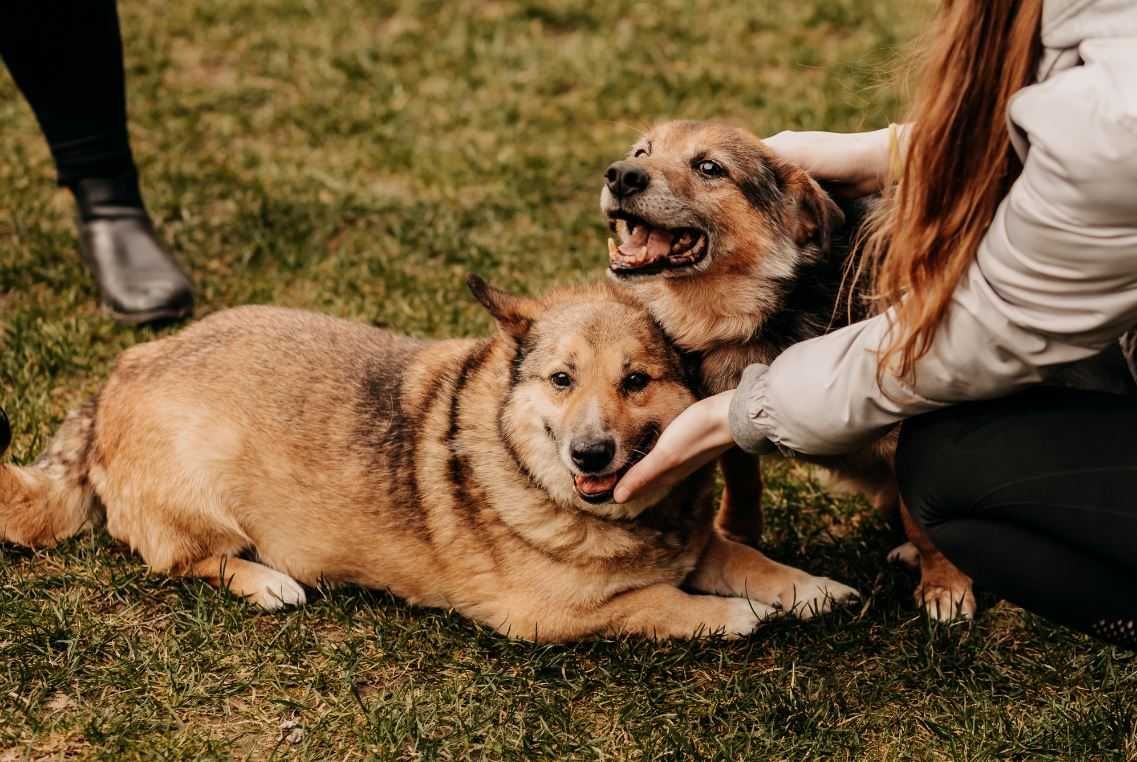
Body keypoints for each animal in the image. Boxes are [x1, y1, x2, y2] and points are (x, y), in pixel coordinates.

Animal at [0, 277, 855, 641]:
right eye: (561, 380)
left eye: (636, 381)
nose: (590, 450)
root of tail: (117, 376)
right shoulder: (544, 618)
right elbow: (661, 605)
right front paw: (737, 616)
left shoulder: (700, 541)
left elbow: (750, 560)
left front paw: (812, 590)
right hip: (202, 494)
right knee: (185, 559)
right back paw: (268, 581)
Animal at [595, 117, 977, 618]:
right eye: (642, 152)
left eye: (710, 167)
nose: (620, 175)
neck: (752, 315)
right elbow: (741, 477)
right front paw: (737, 534)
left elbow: (920, 517)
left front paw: (944, 583)